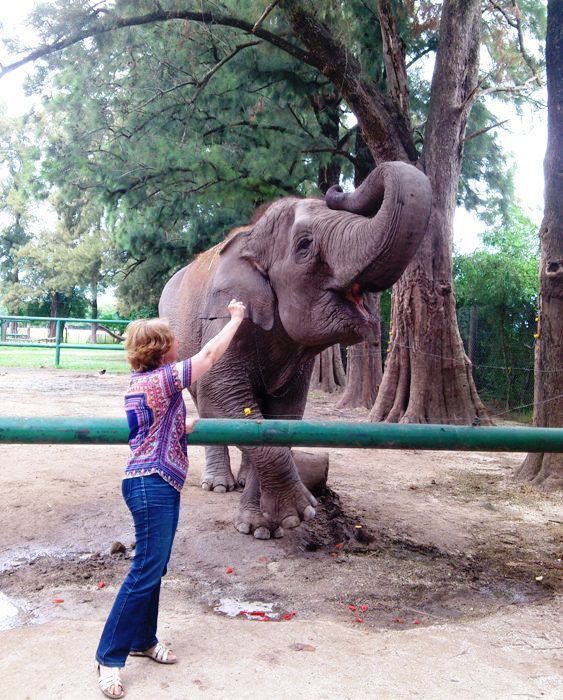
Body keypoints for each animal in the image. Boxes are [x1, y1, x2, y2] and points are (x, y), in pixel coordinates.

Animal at [159, 160, 432, 540]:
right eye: (304, 246)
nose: (335, 187)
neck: (252, 235)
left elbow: (285, 414)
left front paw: (267, 526)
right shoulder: (222, 318)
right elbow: (221, 395)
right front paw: (294, 514)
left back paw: (238, 482)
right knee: (204, 402)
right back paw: (218, 486)